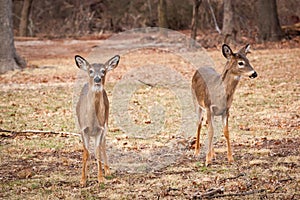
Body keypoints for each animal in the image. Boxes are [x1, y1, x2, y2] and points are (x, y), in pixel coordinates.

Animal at [74, 54, 120, 186]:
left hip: (106, 122)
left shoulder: (100, 129)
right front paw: (83, 180)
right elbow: (85, 153)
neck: (92, 122)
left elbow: (98, 151)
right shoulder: (83, 130)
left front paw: (100, 178)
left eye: (103, 71)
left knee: (103, 144)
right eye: (90, 71)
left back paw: (107, 171)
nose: (97, 79)